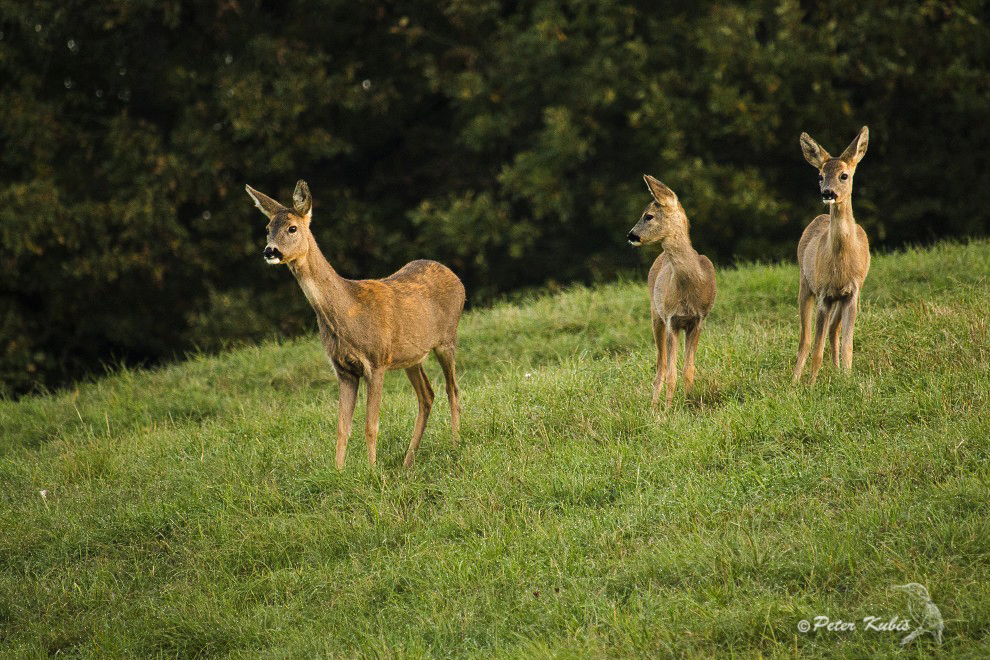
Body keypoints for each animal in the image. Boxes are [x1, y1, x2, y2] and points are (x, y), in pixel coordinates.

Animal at [246, 180, 466, 470]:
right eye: (267, 228)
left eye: (292, 227)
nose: (270, 251)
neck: (347, 313)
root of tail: (457, 278)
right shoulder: (343, 370)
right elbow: (342, 428)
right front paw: (338, 472)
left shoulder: (376, 361)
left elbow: (371, 426)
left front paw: (372, 471)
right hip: (411, 356)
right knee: (427, 395)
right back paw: (408, 461)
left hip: (446, 339)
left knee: (453, 389)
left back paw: (455, 444)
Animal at [624, 174, 716, 408]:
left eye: (648, 216)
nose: (631, 236)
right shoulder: (671, 320)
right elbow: (671, 372)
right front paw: (667, 409)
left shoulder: (698, 320)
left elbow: (689, 369)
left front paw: (690, 402)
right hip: (656, 316)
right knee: (661, 366)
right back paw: (654, 405)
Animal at [796, 126, 872, 384]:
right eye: (820, 176)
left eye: (844, 175)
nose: (827, 193)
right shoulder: (824, 294)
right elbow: (816, 349)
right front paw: (810, 386)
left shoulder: (852, 293)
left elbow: (848, 344)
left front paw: (847, 380)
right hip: (805, 284)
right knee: (805, 340)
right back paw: (794, 380)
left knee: (833, 330)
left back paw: (838, 372)